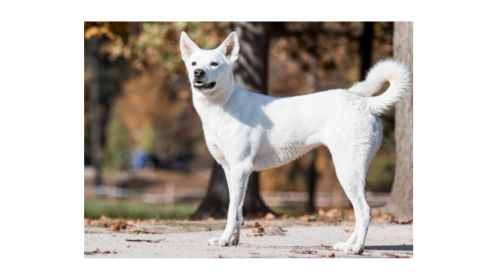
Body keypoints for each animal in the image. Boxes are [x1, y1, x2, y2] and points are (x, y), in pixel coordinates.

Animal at [180, 30, 408, 254]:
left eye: (214, 64)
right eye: (193, 63)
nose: (198, 72)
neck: (224, 104)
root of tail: (365, 103)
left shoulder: (240, 168)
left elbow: (231, 211)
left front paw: (224, 240)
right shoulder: (231, 170)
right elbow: (237, 211)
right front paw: (233, 240)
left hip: (346, 170)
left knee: (365, 211)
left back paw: (357, 248)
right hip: (355, 170)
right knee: (360, 212)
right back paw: (348, 244)